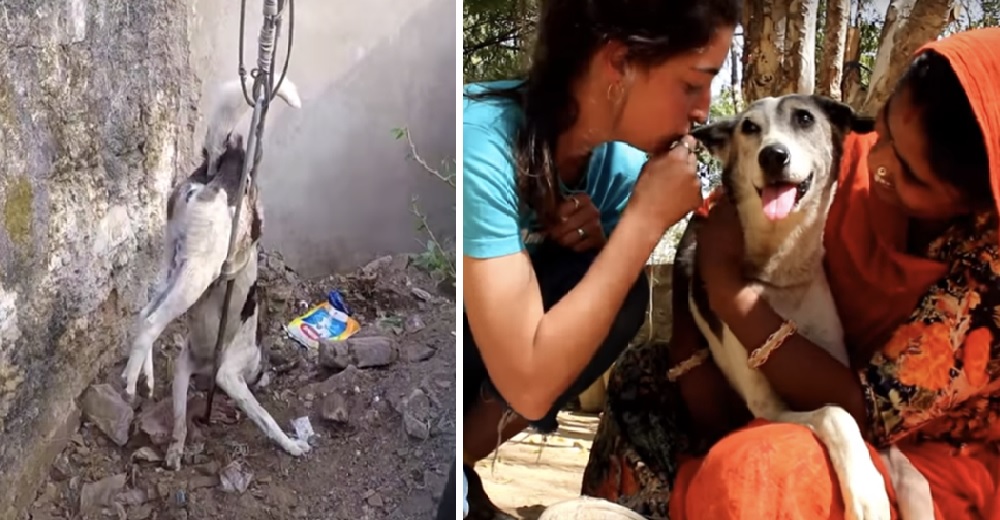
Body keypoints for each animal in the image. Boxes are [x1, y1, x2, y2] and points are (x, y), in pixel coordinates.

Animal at [122, 78, 308, 472]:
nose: (264, 377)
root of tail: (221, 169)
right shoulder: (229, 375)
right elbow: (265, 418)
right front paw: (291, 444)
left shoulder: (183, 369)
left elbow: (180, 420)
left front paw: (176, 450)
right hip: (197, 273)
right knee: (151, 322)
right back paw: (131, 378)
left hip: (172, 264)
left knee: (144, 314)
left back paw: (144, 371)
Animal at [680, 94, 892, 520]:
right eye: (749, 127)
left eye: (805, 118)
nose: (773, 155)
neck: (781, 273)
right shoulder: (769, 406)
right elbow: (836, 413)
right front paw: (867, 492)